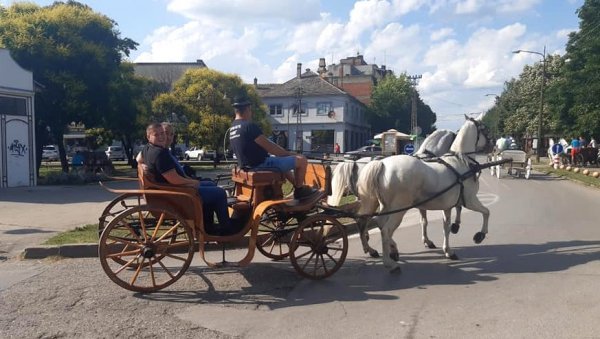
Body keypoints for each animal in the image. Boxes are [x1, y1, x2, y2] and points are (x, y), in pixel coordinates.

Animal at [328, 130, 460, 258]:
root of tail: (355, 162)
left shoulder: (422, 202)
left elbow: (424, 221)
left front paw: (427, 240)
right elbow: (427, 219)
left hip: (368, 199)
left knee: (362, 217)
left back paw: (369, 243)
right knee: (366, 219)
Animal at [356, 115, 492, 272]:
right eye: (485, 129)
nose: (492, 146)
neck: (460, 162)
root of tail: (382, 164)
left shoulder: (447, 206)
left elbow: (446, 227)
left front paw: (448, 250)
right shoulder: (470, 201)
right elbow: (486, 212)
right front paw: (480, 235)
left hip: (383, 206)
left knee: (376, 222)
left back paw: (384, 251)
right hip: (398, 210)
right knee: (386, 230)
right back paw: (389, 263)